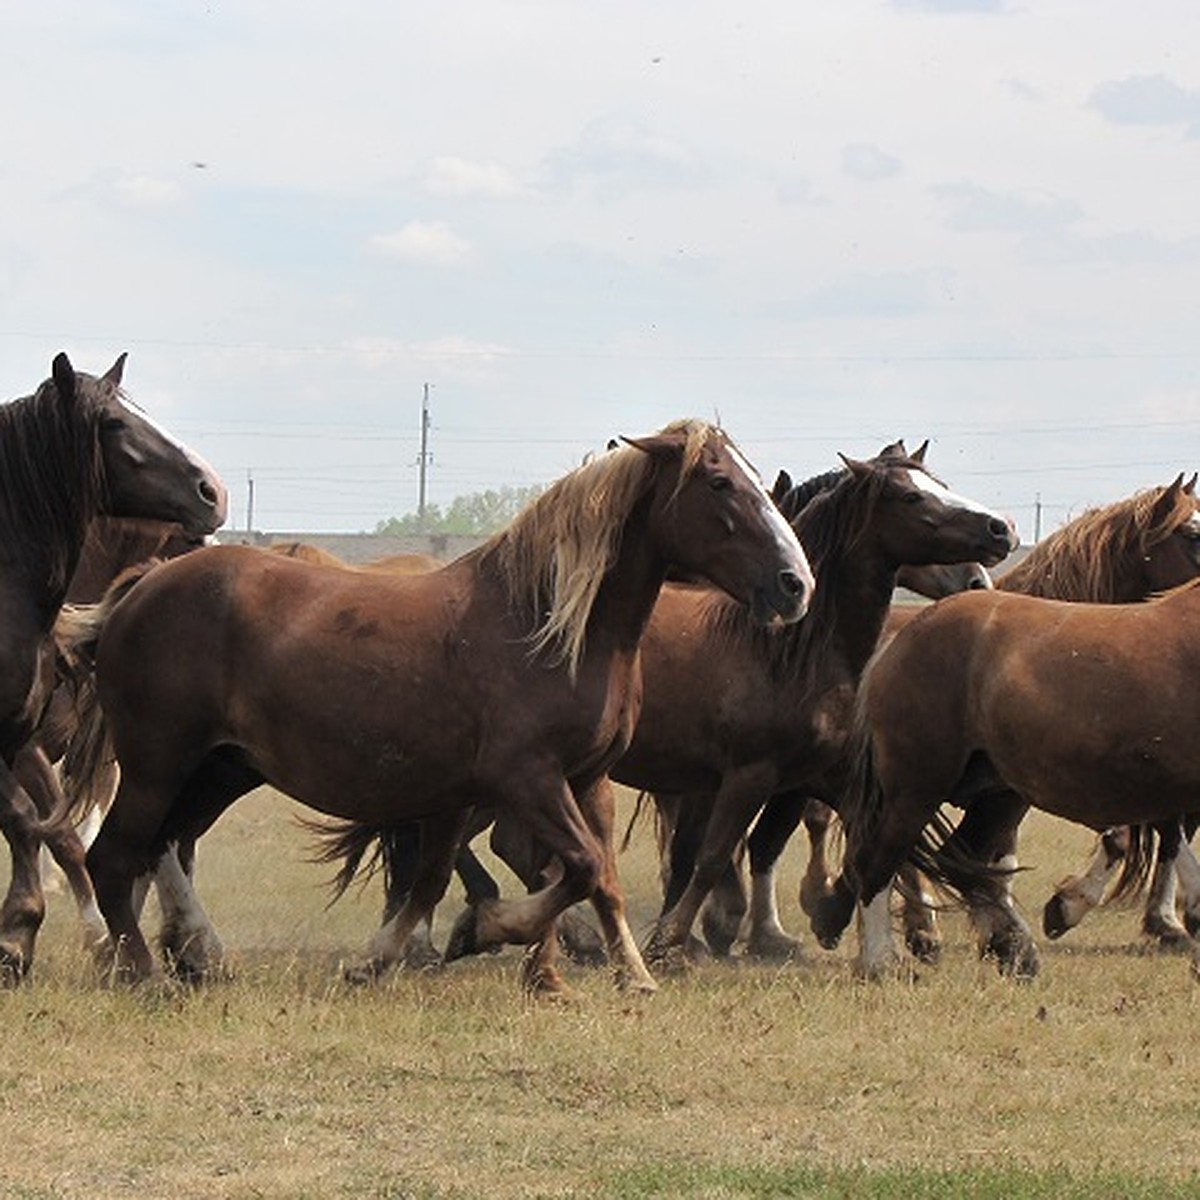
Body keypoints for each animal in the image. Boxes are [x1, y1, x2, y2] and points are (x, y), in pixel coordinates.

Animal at [63, 420, 816, 993]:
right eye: (719, 482)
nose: (795, 584)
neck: (546, 626)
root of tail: (141, 589)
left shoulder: (582, 780)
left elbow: (572, 878)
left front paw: (620, 972)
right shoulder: (528, 778)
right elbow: (575, 867)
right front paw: (483, 931)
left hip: (222, 768)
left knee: (162, 846)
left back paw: (193, 954)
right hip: (158, 765)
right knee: (116, 855)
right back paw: (138, 970)